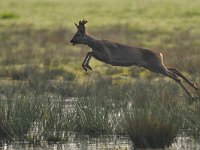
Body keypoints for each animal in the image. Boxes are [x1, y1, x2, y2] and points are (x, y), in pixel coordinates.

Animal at [70, 19, 198, 98]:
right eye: (75, 33)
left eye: (78, 34)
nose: (71, 41)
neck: (96, 44)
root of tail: (160, 54)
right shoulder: (103, 56)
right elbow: (89, 52)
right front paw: (86, 66)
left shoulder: (107, 57)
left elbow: (90, 52)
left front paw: (87, 66)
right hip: (154, 66)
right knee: (175, 69)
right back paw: (195, 87)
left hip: (157, 66)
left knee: (175, 76)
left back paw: (191, 95)